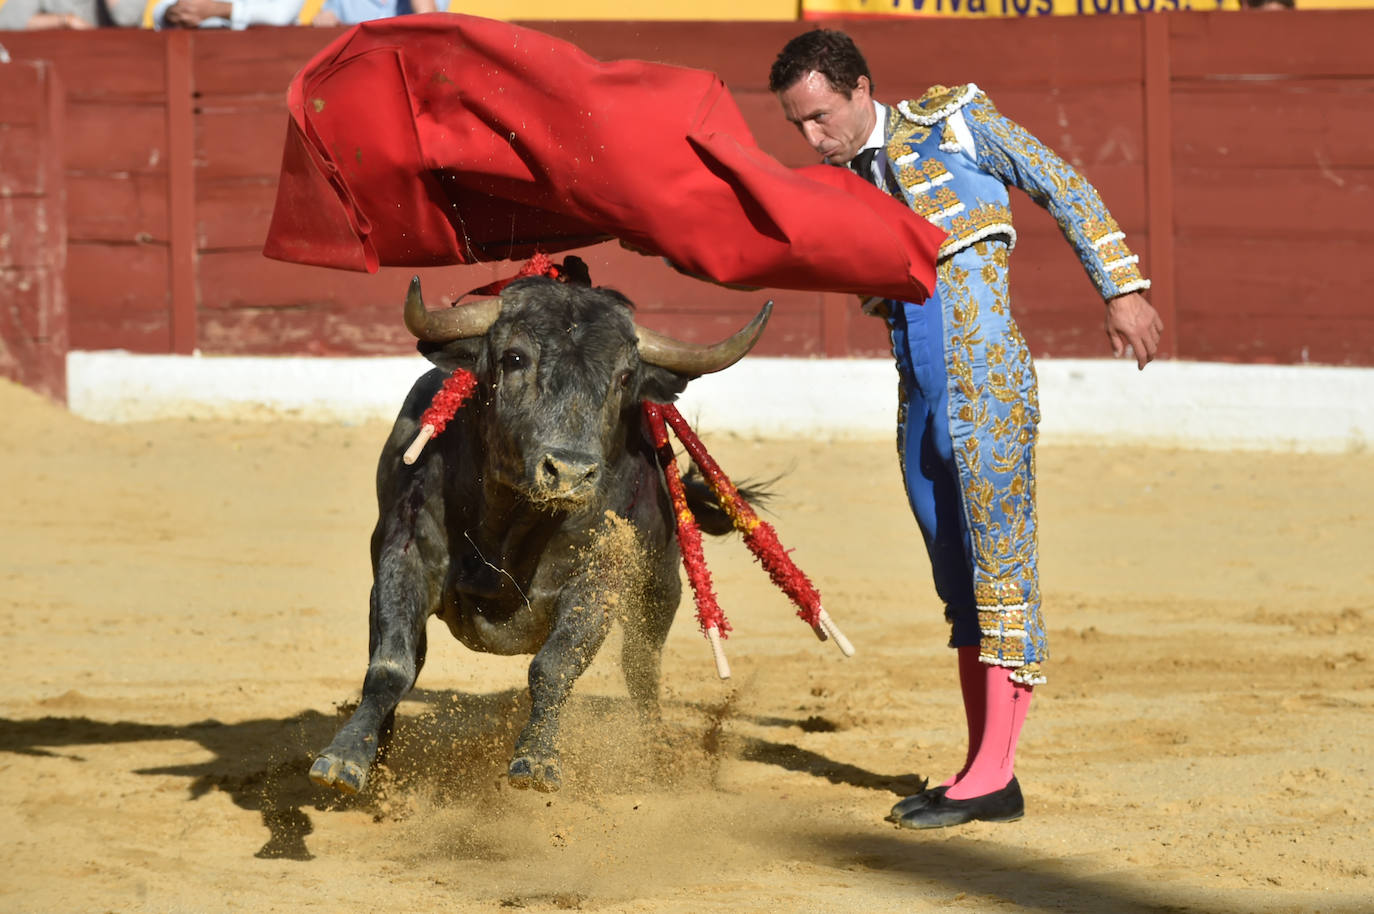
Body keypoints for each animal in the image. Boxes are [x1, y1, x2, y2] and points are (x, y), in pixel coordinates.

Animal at [305, 270, 769, 791]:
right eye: (514, 358)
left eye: (624, 378)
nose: (569, 472)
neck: (511, 520)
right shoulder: (403, 554)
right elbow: (390, 664)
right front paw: (348, 756)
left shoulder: (597, 581)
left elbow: (554, 666)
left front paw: (538, 757)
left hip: (659, 589)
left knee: (643, 670)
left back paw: (654, 750)